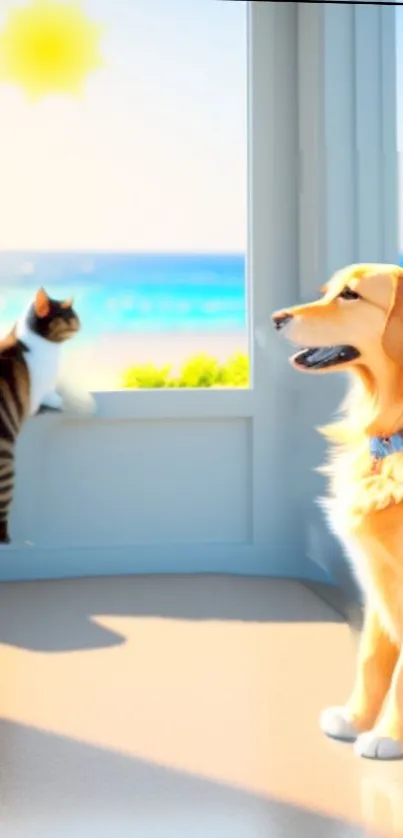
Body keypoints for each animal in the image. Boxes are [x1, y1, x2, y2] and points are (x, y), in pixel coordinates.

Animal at [272, 262, 403, 760]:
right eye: (328, 290)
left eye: (351, 295)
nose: (275, 318)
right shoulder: (377, 575)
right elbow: (371, 656)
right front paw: (355, 719)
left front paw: (387, 736)